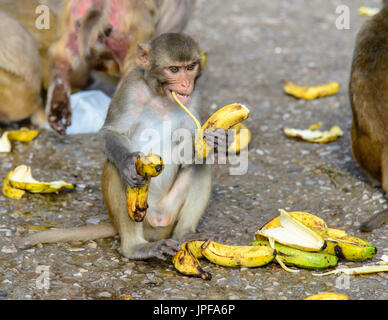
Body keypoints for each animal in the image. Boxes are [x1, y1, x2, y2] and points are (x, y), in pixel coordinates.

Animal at [18, 33, 229, 262]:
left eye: (190, 67)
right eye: (174, 69)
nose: (185, 83)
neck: (161, 96)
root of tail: (158, 219)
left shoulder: (195, 96)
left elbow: (193, 152)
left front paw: (217, 141)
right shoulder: (129, 89)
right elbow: (111, 134)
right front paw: (128, 163)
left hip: (169, 212)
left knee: (202, 165)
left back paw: (185, 234)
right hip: (143, 215)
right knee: (114, 167)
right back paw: (136, 247)